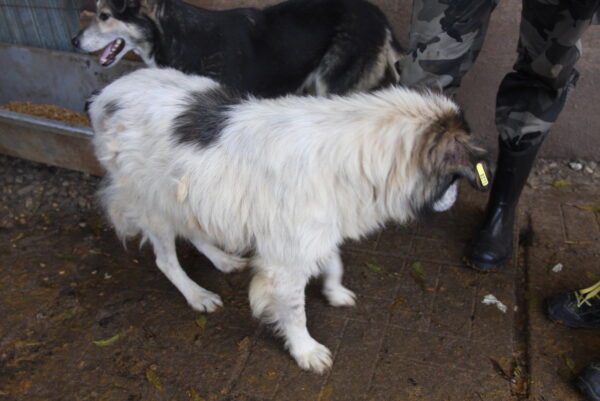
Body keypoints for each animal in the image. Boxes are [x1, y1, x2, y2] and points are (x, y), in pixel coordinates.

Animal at [90, 68, 492, 372]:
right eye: (455, 178)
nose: (457, 199)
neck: (355, 153)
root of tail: (104, 96)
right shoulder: (286, 259)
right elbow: (296, 313)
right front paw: (306, 351)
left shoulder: (314, 232)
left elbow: (334, 261)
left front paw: (334, 292)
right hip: (153, 202)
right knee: (165, 260)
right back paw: (196, 294)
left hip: (187, 194)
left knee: (194, 230)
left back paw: (222, 260)